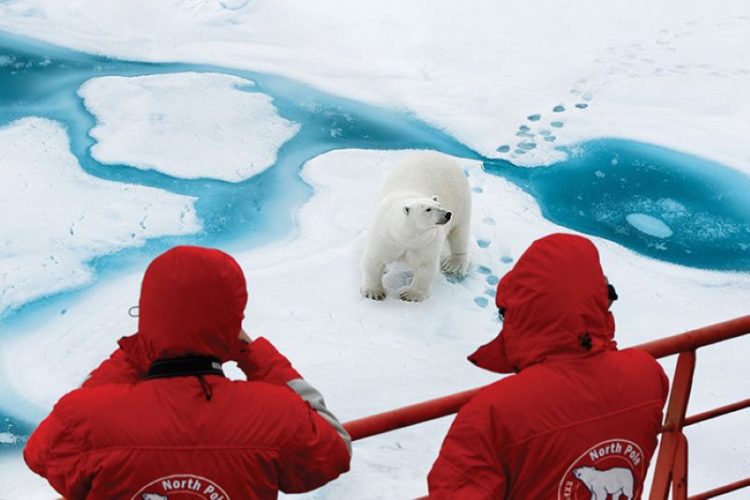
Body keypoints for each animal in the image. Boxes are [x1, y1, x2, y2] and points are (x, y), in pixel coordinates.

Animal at [362, 150, 472, 302]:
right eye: (428, 209)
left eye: (439, 205)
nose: (447, 214)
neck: (407, 238)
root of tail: (439, 154)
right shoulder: (385, 237)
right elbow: (374, 259)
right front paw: (374, 292)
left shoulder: (427, 243)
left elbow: (425, 267)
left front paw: (410, 295)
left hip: (461, 200)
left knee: (459, 232)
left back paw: (453, 265)